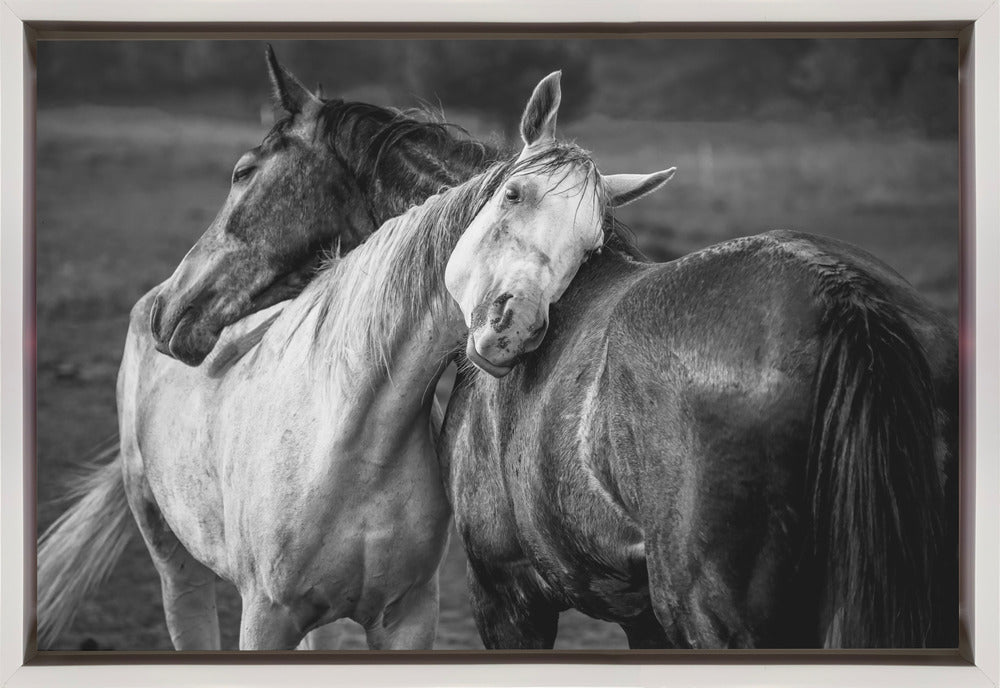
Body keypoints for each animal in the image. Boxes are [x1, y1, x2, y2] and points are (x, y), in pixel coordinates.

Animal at [37, 63, 670, 651]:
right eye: (512, 195)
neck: (352, 435)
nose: (514, 326)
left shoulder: (414, 615)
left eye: (590, 247)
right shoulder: (266, 616)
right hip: (174, 562)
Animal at [441, 72, 958, 648]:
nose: (516, 327)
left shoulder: (505, 595)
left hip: (706, 611)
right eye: (512, 194)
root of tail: (840, 291)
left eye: (589, 244)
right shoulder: (639, 615)